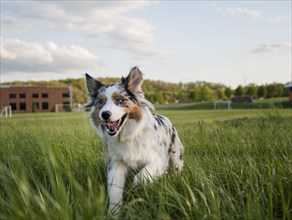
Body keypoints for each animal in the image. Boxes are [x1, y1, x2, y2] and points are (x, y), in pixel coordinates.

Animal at [85, 67, 184, 213]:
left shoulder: (158, 159)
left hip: (176, 156)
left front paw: (136, 186)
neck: (128, 136)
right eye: (100, 103)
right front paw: (114, 213)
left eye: (119, 100)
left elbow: (142, 177)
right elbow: (115, 190)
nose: (105, 114)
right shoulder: (116, 163)